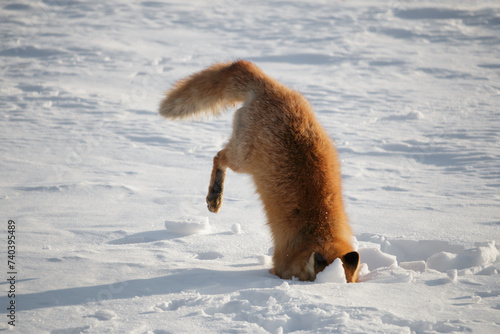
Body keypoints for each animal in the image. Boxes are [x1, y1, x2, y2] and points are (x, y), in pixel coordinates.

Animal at [160, 60, 360, 282]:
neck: (319, 226)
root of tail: (269, 85)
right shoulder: (282, 259)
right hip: (242, 159)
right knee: (219, 156)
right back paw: (215, 196)